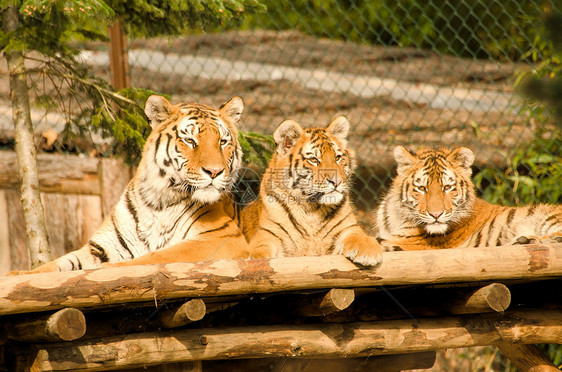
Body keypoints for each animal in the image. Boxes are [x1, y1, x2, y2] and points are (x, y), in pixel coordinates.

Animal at [6, 95, 250, 276]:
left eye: (223, 142)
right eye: (190, 141)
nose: (214, 172)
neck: (160, 201)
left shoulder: (222, 238)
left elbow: (156, 256)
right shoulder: (100, 246)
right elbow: (58, 263)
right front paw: (18, 274)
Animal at [238, 117, 382, 266]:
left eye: (337, 157)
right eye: (313, 160)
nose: (336, 181)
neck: (312, 208)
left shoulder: (348, 228)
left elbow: (358, 235)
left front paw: (368, 250)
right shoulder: (269, 233)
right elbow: (260, 248)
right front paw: (255, 261)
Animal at [372, 145, 560, 250]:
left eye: (447, 187)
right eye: (422, 188)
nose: (436, 215)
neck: (397, 215)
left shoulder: (408, 241)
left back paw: (527, 240)